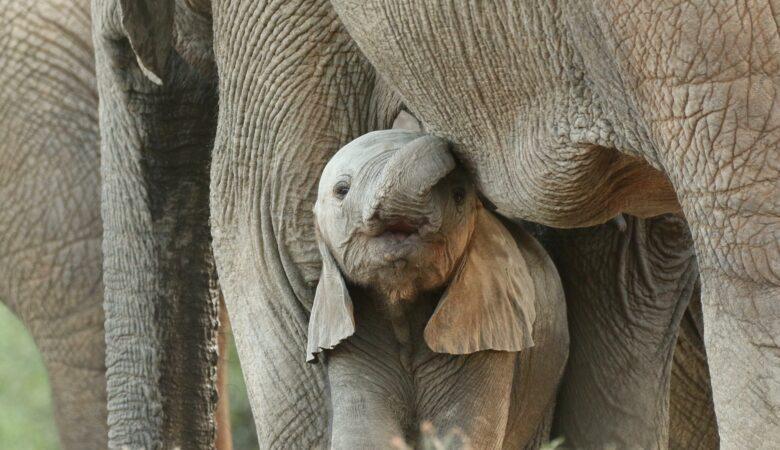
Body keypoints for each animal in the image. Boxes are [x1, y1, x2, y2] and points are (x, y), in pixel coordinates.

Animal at [308, 128, 568, 448]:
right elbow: (363, 436)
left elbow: (461, 434)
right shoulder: (352, 340)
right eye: (341, 190)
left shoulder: (487, 335)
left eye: (459, 196)